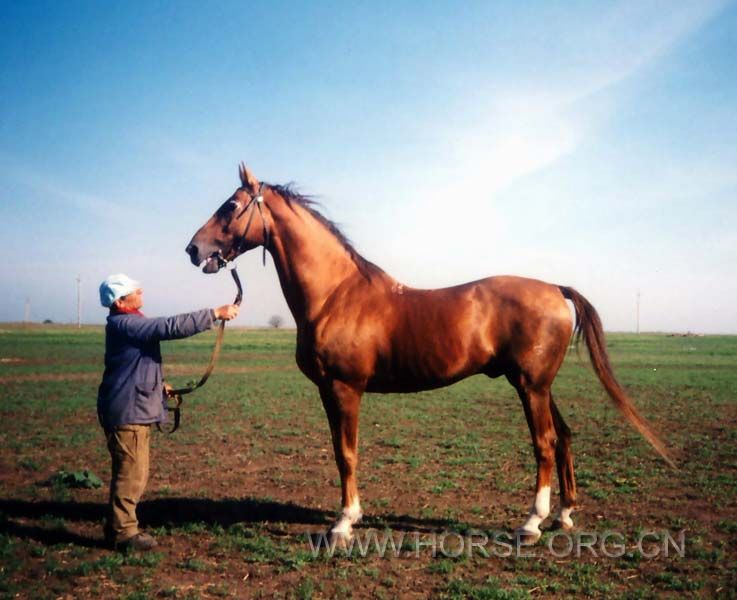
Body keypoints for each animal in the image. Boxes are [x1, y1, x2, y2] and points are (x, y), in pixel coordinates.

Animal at [185, 163, 672, 544]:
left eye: (231, 205)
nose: (194, 249)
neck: (335, 294)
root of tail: (554, 288)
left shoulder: (345, 389)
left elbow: (347, 453)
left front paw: (343, 524)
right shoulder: (327, 391)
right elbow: (340, 450)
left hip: (531, 387)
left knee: (545, 444)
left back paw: (531, 523)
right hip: (537, 385)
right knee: (565, 436)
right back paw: (564, 515)